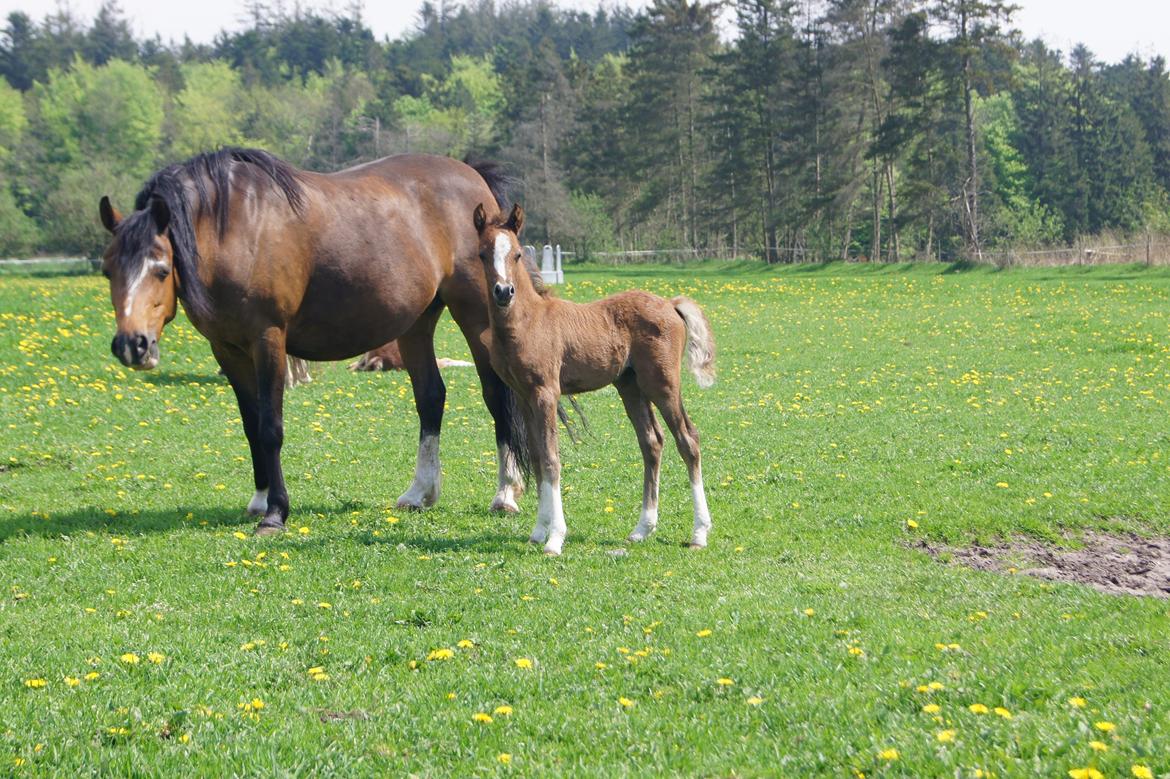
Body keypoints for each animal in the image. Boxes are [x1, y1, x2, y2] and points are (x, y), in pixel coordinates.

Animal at [472, 200, 711, 552]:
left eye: (515, 254)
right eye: (482, 254)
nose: (504, 292)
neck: (527, 322)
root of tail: (670, 304)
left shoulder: (546, 393)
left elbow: (552, 460)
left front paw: (555, 538)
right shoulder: (524, 396)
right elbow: (538, 459)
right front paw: (538, 532)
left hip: (663, 384)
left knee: (688, 439)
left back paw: (699, 533)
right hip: (631, 387)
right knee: (652, 442)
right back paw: (642, 529)